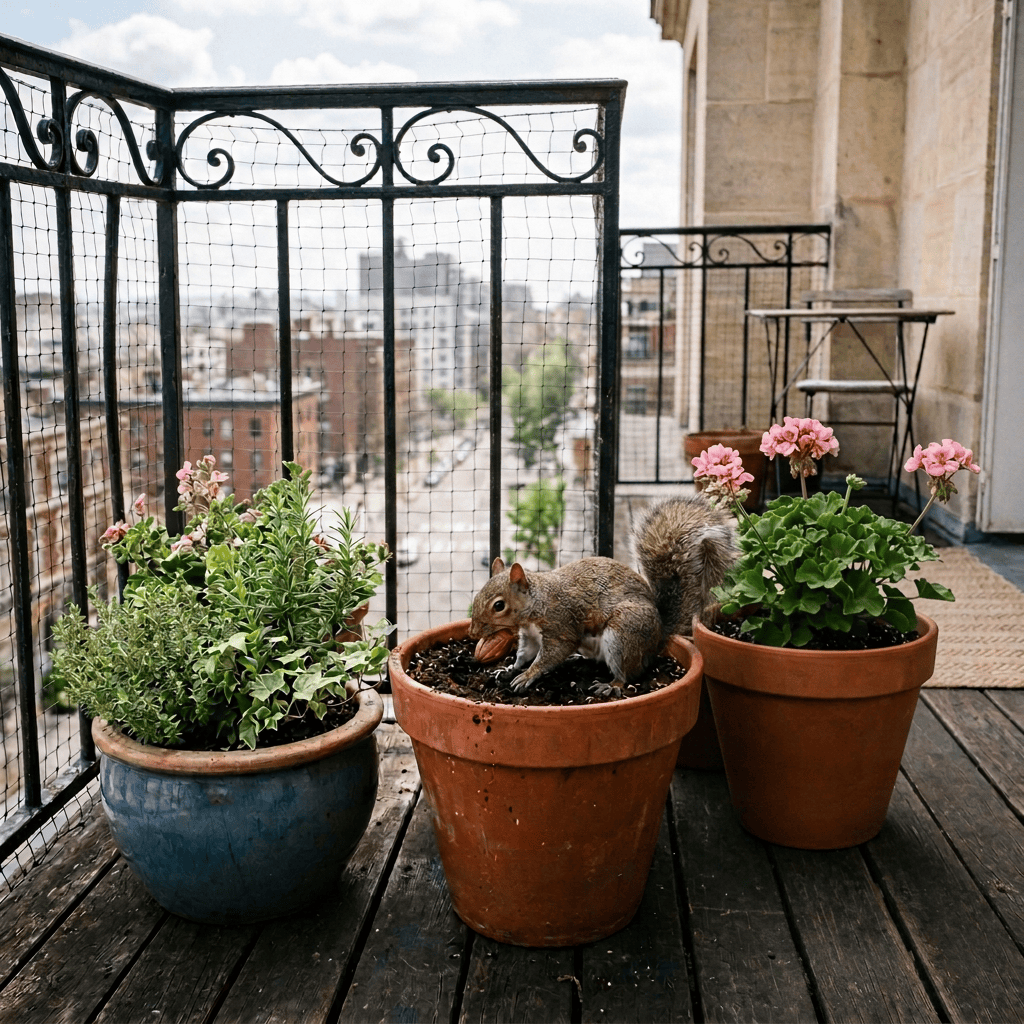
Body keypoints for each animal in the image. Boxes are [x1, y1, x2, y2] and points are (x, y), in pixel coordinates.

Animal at [469, 494, 735, 694]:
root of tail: (658, 636)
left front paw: (528, 676)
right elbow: (525, 654)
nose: (472, 632)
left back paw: (611, 685)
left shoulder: (560, 625)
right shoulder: (531, 635)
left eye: (499, 606)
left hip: (623, 634)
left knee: (627, 672)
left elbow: (551, 655)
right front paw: (509, 670)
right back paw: (579, 661)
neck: (537, 603)